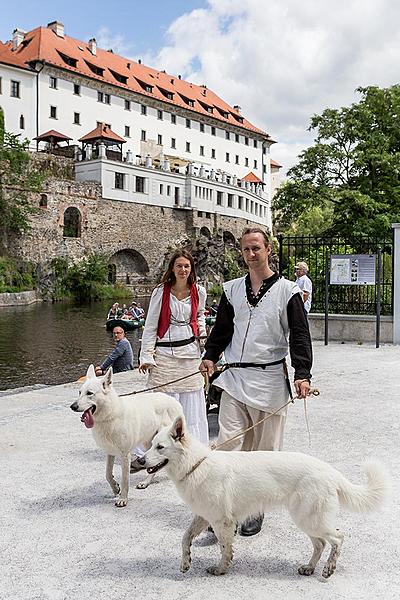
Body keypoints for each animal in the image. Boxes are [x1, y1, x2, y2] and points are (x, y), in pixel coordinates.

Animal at [71, 366, 184, 506]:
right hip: (149, 444)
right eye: (79, 392)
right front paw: (115, 488)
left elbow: (125, 480)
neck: (111, 414)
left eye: (89, 393)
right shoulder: (110, 452)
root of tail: (173, 400)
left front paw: (123, 499)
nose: (72, 406)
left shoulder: (125, 455)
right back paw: (146, 482)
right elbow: (108, 474)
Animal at [142, 418, 390, 576]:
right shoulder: (204, 517)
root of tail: (330, 471)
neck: (196, 464)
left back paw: (329, 568)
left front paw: (221, 569)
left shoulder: (222, 522)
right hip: (306, 520)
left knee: (338, 538)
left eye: (160, 447)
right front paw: (186, 562)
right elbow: (185, 538)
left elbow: (224, 548)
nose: (140, 461)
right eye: (151, 445)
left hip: (310, 519)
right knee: (320, 544)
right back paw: (309, 568)